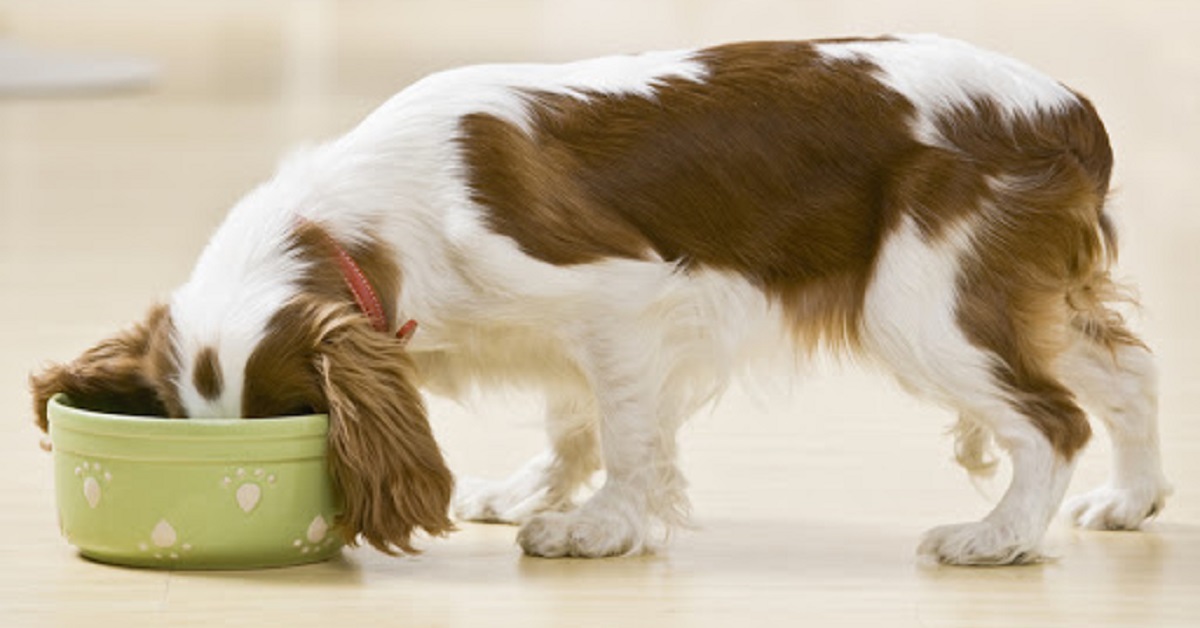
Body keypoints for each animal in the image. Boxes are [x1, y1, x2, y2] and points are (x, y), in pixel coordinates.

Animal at [30, 34, 1171, 564]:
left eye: (294, 419)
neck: (366, 221)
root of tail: (1068, 109)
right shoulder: (564, 336)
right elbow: (572, 418)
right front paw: (538, 489)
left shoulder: (619, 302)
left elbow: (625, 433)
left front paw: (598, 527)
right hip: (1015, 293)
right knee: (1125, 372)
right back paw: (1132, 499)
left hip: (922, 303)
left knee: (1051, 419)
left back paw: (998, 538)